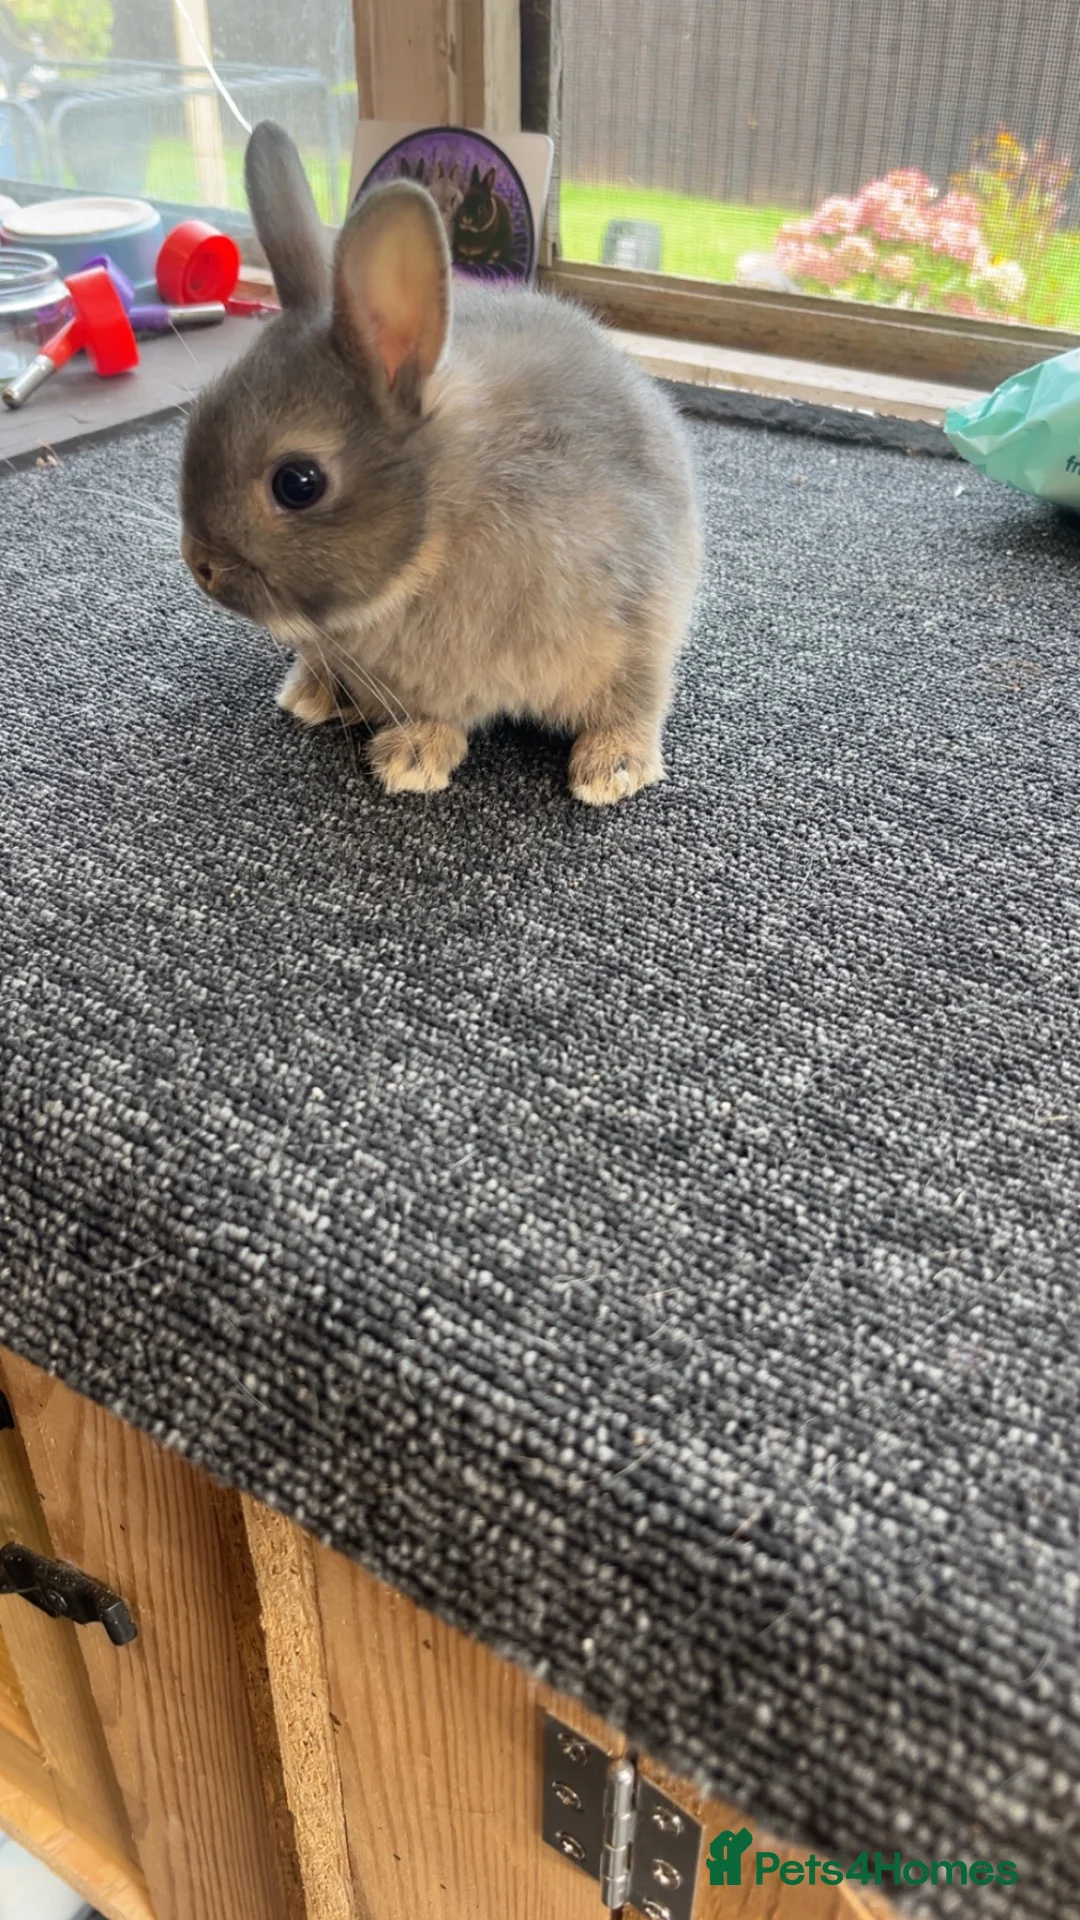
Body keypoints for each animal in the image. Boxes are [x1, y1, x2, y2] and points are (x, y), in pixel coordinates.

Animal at [180, 121, 700, 805]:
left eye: (297, 483)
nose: (200, 566)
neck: (442, 528)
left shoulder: (636, 619)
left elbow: (634, 700)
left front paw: (611, 770)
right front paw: (414, 754)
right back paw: (312, 693)